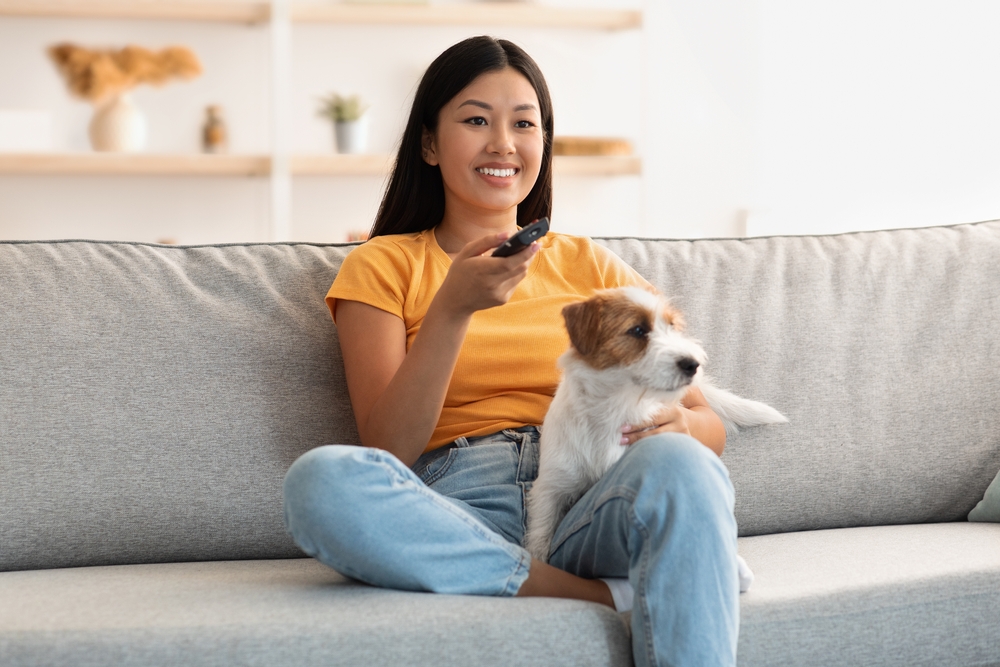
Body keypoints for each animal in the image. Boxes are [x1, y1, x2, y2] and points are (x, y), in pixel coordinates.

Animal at [528, 284, 784, 592]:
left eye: (672, 327)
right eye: (638, 330)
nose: (693, 364)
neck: (615, 408)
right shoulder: (550, 490)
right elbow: (540, 537)